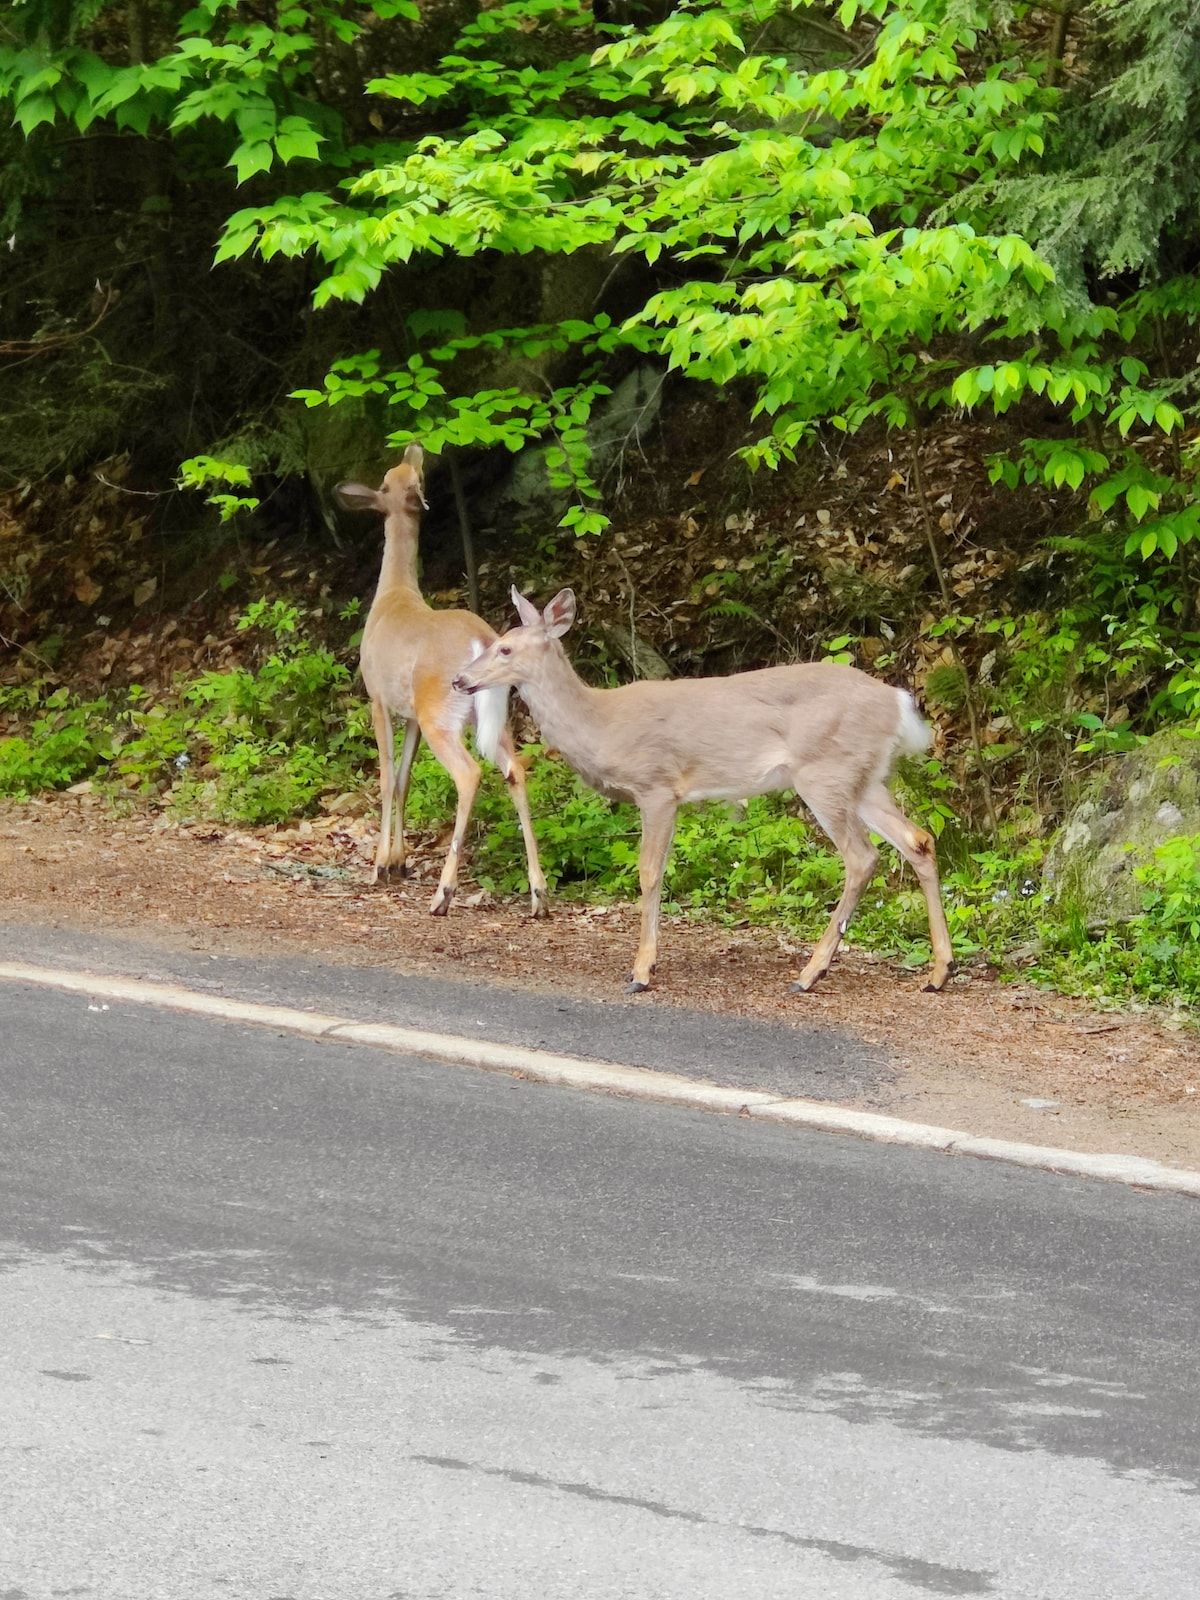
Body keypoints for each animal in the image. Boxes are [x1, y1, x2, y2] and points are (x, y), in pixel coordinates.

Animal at [334, 446, 550, 919]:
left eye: (391, 476)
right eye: (405, 472)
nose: (414, 448)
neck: (394, 595)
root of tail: (482, 640)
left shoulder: (378, 697)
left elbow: (385, 777)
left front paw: (381, 865)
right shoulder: (411, 714)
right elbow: (404, 779)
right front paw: (399, 863)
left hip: (440, 712)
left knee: (470, 774)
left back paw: (444, 893)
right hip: (490, 716)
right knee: (516, 770)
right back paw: (539, 895)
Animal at [453, 587, 954, 995]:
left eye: (505, 648)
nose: (459, 679)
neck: (600, 724)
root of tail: (898, 704)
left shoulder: (656, 786)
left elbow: (649, 872)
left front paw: (641, 971)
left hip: (824, 772)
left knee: (862, 857)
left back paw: (810, 973)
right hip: (865, 778)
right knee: (919, 839)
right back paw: (938, 973)